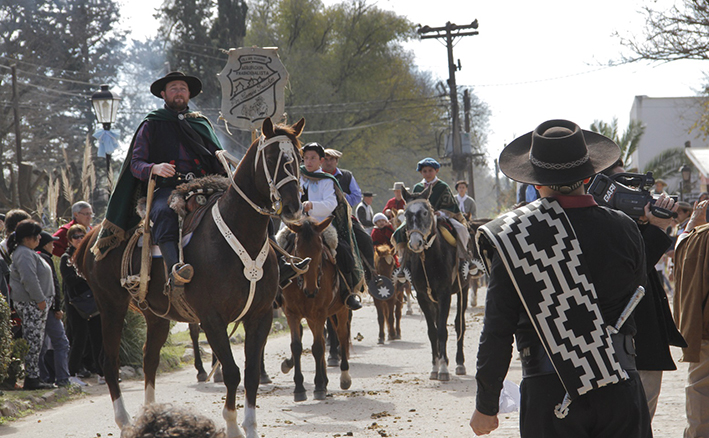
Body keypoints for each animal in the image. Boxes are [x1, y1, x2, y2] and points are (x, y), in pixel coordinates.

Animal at [76, 117, 306, 438]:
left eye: (297, 158)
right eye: (271, 158)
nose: (294, 207)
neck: (240, 235)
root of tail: (94, 235)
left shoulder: (259, 316)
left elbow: (251, 375)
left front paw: (249, 426)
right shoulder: (212, 319)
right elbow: (232, 372)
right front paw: (232, 426)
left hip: (157, 316)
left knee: (149, 359)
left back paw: (152, 415)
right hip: (111, 307)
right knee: (109, 363)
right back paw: (125, 421)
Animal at [278, 217, 352, 402]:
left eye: (320, 250)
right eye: (297, 248)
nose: (311, 290)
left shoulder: (319, 314)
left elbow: (318, 347)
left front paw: (318, 386)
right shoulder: (292, 314)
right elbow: (296, 346)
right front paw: (299, 388)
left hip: (340, 310)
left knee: (342, 335)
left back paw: (344, 377)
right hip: (312, 318)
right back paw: (325, 381)